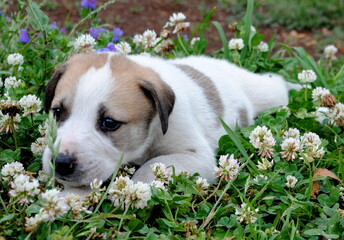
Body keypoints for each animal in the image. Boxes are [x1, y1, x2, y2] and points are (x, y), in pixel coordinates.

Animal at [42, 53, 290, 195]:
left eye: (109, 123)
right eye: (57, 112)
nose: (61, 163)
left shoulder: (196, 156)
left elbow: (150, 167)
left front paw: (133, 190)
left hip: (268, 93)